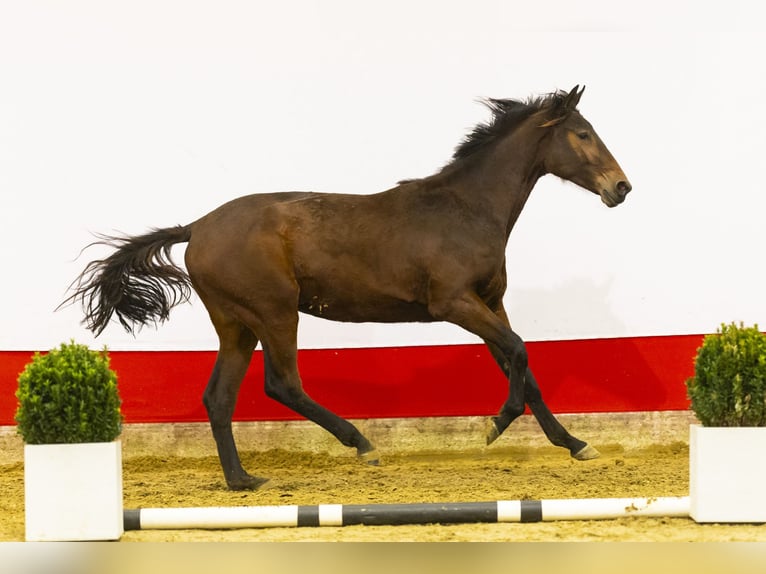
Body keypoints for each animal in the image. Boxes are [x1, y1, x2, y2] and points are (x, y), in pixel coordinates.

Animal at [63, 85, 632, 490]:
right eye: (582, 133)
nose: (621, 187)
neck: (466, 210)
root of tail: (196, 227)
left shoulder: (491, 303)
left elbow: (525, 369)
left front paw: (576, 444)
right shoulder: (456, 303)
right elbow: (518, 353)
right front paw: (492, 428)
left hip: (236, 325)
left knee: (219, 398)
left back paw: (243, 481)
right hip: (274, 312)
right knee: (282, 384)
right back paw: (361, 444)